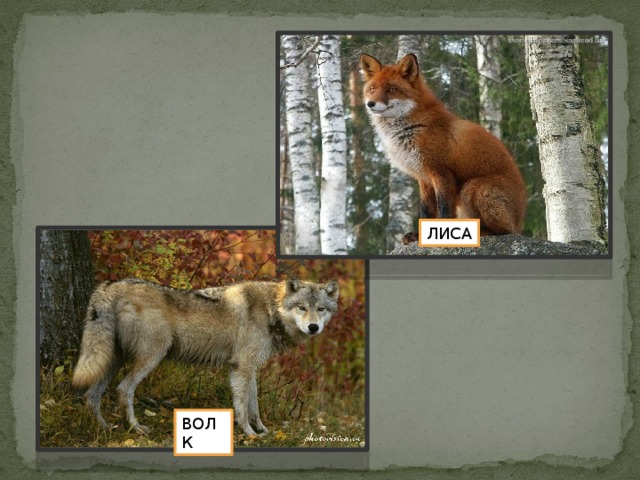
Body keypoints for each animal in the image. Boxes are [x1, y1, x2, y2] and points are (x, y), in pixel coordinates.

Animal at [71, 277, 339, 437]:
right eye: (302, 308)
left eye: (321, 309)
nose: (313, 327)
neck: (271, 309)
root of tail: (113, 285)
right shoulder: (241, 367)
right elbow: (242, 407)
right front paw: (250, 434)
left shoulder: (248, 368)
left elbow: (253, 405)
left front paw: (263, 431)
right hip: (150, 357)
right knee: (123, 389)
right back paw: (136, 429)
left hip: (111, 360)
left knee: (91, 395)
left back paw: (105, 428)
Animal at [360, 53, 527, 241]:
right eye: (372, 89)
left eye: (391, 89)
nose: (370, 103)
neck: (411, 128)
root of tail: (520, 222)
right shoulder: (423, 177)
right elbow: (426, 210)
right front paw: (418, 236)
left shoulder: (441, 172)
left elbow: (444, 207)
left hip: (475, 188)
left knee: (504, 231)